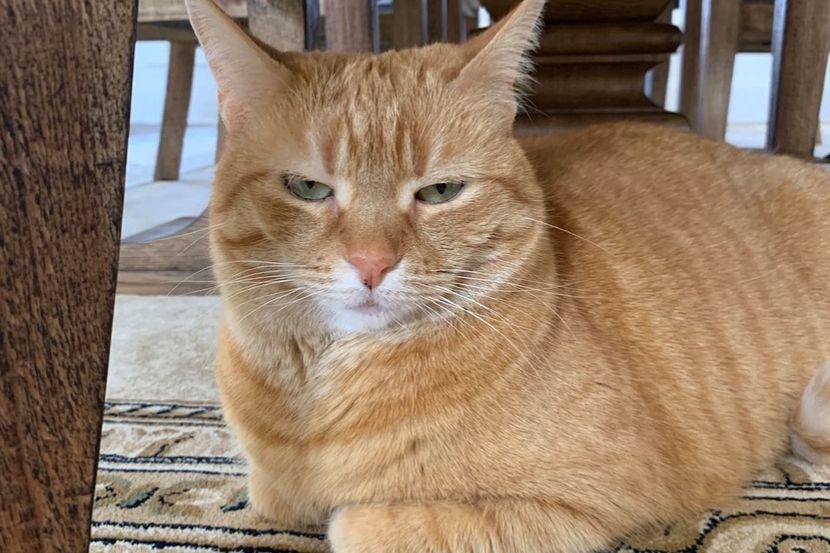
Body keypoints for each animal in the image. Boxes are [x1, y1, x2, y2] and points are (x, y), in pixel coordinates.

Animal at [186, 0, 830, 551]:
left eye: (440, 192)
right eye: (307, 188)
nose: (372, 263)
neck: (318, 399)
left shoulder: (583, 504)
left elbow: (357, 527)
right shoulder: (269, 492)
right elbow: (273, 498)